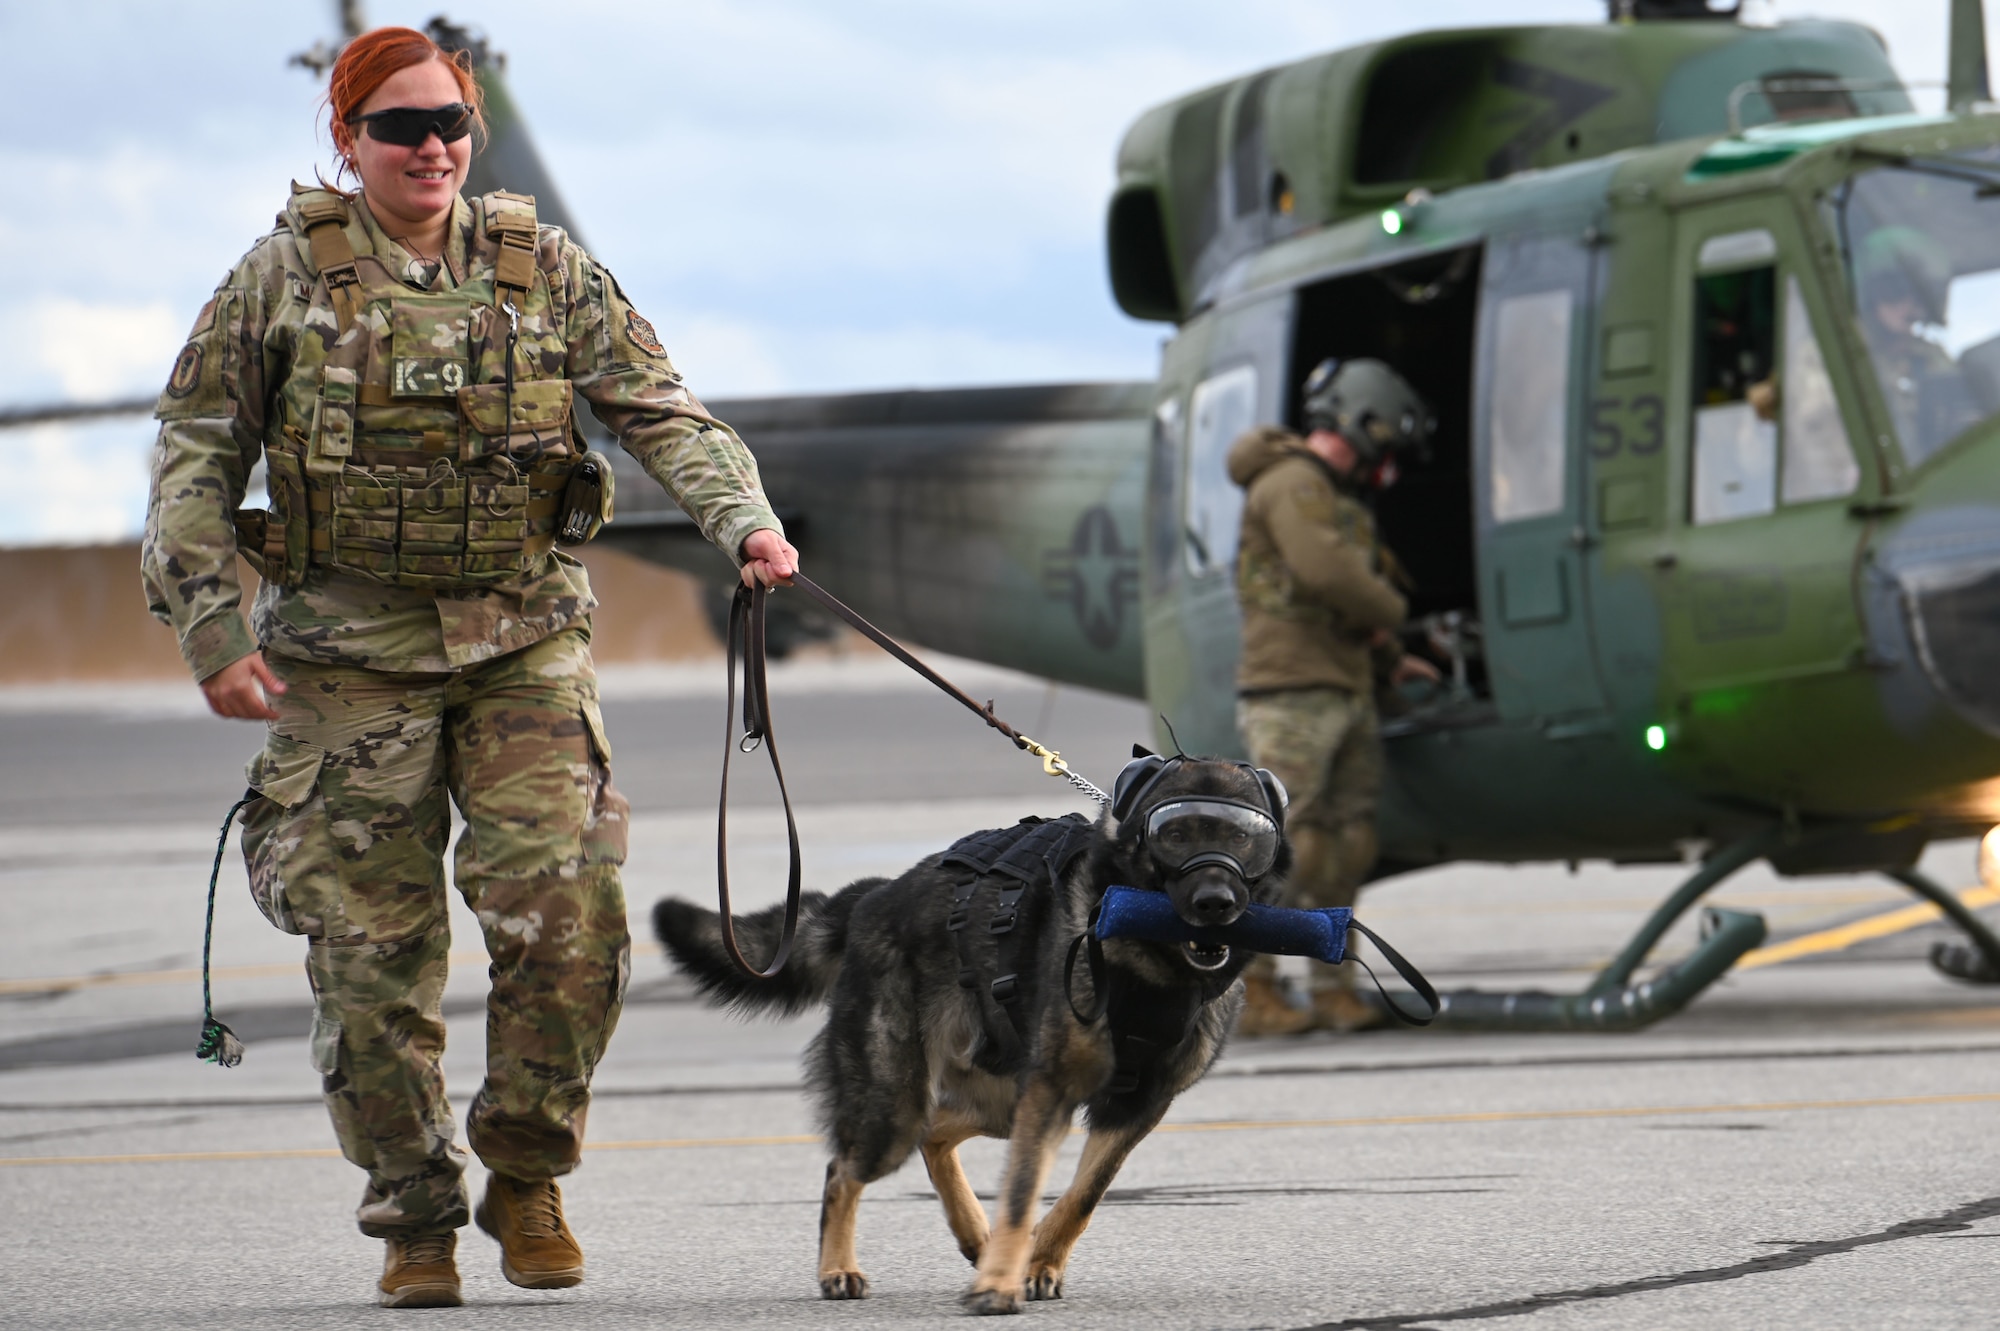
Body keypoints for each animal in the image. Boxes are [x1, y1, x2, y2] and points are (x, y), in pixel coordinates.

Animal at [648, 751, 1288, 1311]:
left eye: (1245, 838)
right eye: (1173, 835)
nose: (1215, 902)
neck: (1152, 967)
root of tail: (872, 897)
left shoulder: (1134, 1108)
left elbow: (1081, 1195)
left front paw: (1034, 1263)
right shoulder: (1053, 1092)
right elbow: (1022, 1194)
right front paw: (999, 1285)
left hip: (999, 1099)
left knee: (934, 1133)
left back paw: (974, 1237)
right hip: (896, 1108)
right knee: (844, 1169)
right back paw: (838, 1268)